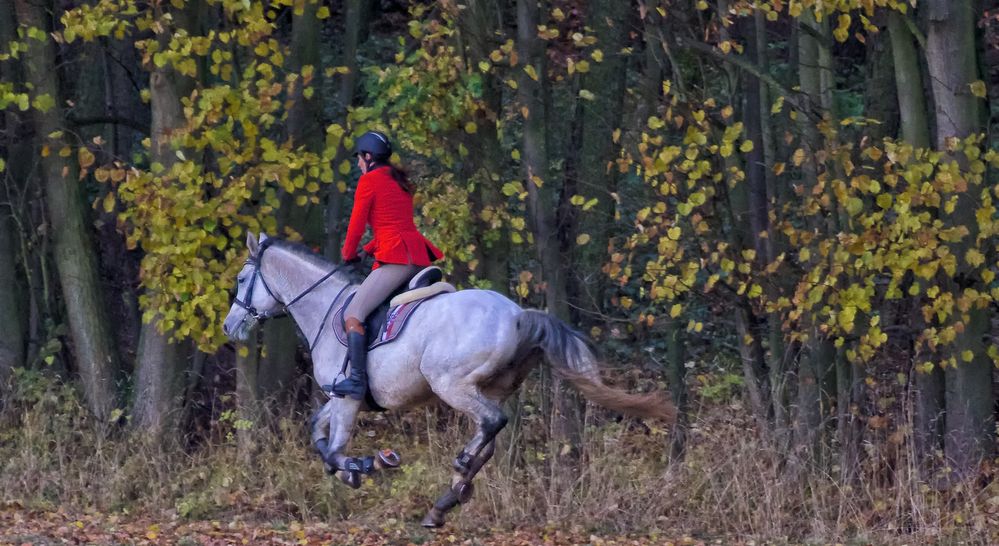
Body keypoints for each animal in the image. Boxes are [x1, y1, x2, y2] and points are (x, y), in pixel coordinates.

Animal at [223, 232, 676, 524]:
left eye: (242, 280)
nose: (230, 326)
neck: (325, 305)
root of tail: (518, 315)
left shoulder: (347, 396)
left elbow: (334, 447)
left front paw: (365, 464)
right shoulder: (340, 398)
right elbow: (317, 435)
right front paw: (351, 470)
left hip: (451, 384)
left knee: (492, 423)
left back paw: (455, 475)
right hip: (490, 386)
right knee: (489, 438)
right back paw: (448, 497)